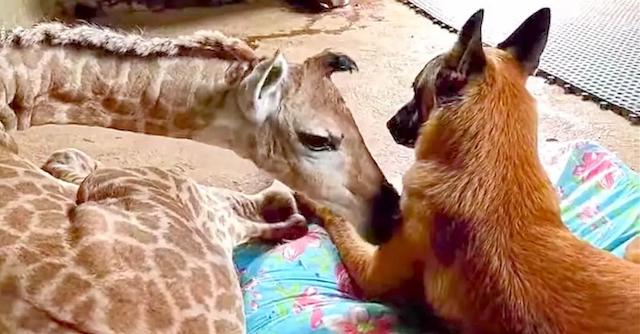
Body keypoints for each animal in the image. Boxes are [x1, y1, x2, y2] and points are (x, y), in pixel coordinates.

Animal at [298, 7, 640, 334]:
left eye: (415, 90)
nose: (389, 123)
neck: (493, 167)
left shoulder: (371, 272)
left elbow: (339, 219)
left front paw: (310, 198)